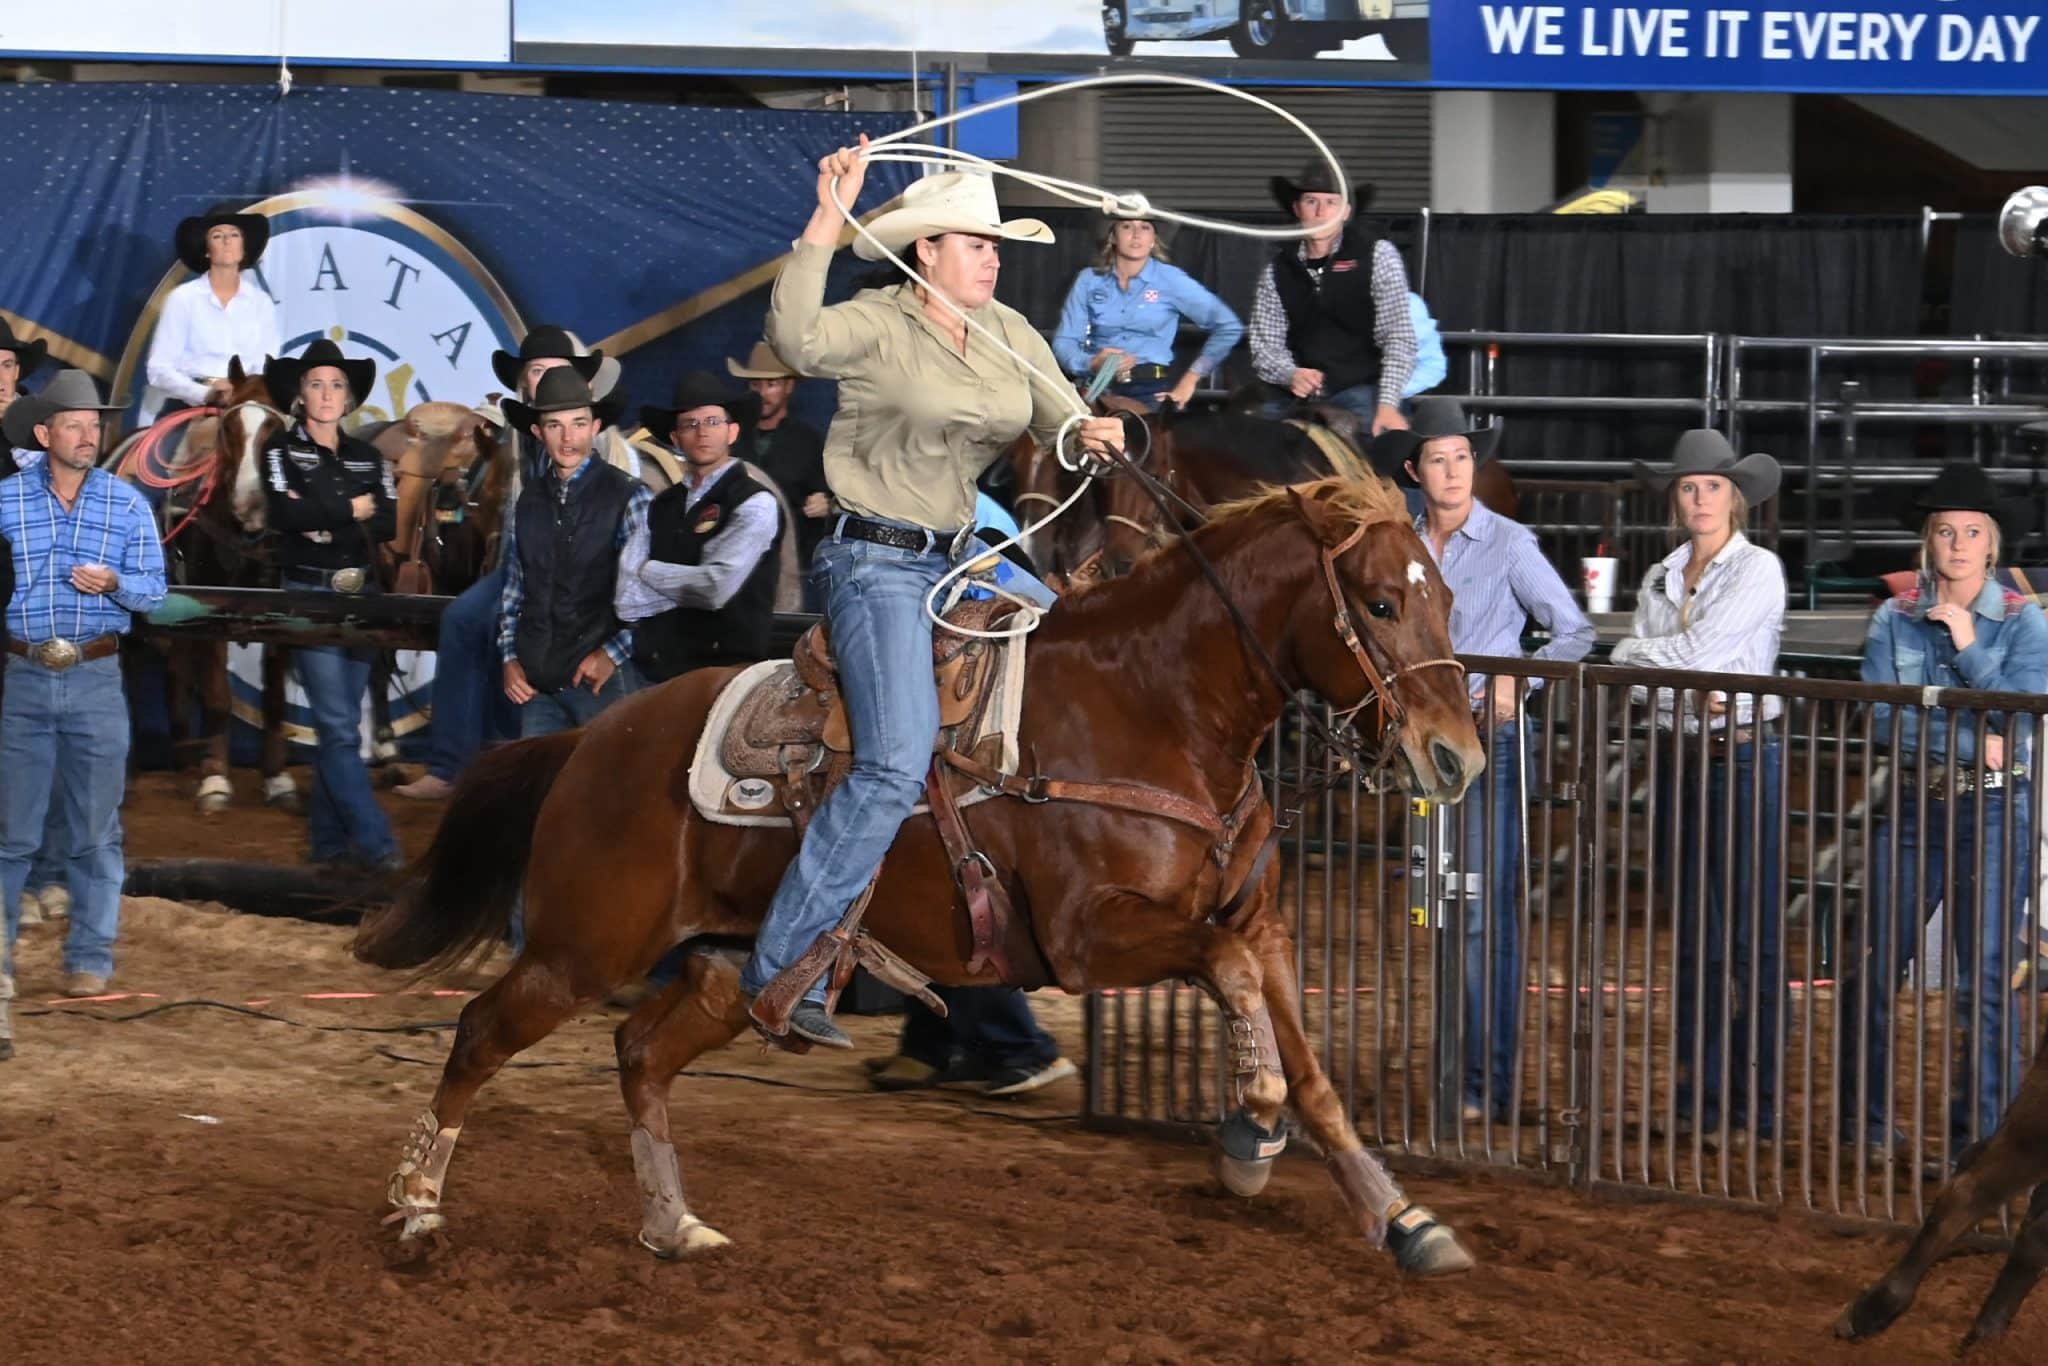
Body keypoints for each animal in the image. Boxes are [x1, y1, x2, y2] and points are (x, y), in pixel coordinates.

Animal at [356, 475, 1490, 1277]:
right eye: (1379, 603)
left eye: (1444, 593)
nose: (1458, 759)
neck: (1154, 705)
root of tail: (592, 738)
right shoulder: (1090, 941)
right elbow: (1231, 986)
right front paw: (1248, 1130)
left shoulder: (1262, 925)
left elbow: (1311, 1069)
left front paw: (1403, 1219)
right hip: (582, 946)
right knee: (482, 1033)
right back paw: (415, 1208)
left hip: (726, 964)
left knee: (641, 1052)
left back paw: (673, 1224)